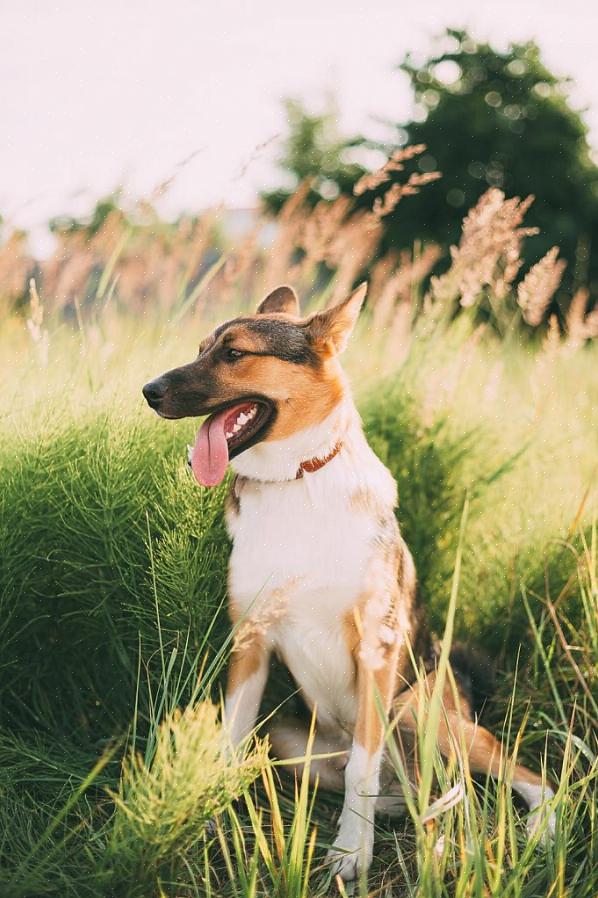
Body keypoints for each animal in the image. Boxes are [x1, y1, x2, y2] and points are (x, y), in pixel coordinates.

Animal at [144, 284, 556, 880]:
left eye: (235, 354)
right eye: (201, 349)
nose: (148, 391)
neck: (297, 482)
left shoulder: (375, 651)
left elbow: (364, 765)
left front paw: (349, 852)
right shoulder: (251, 645)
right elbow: (229, 744)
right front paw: (207, 822)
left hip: (421, 711)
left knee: (520, 776)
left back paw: (540, 827)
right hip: (293, 740)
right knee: (402, 787)